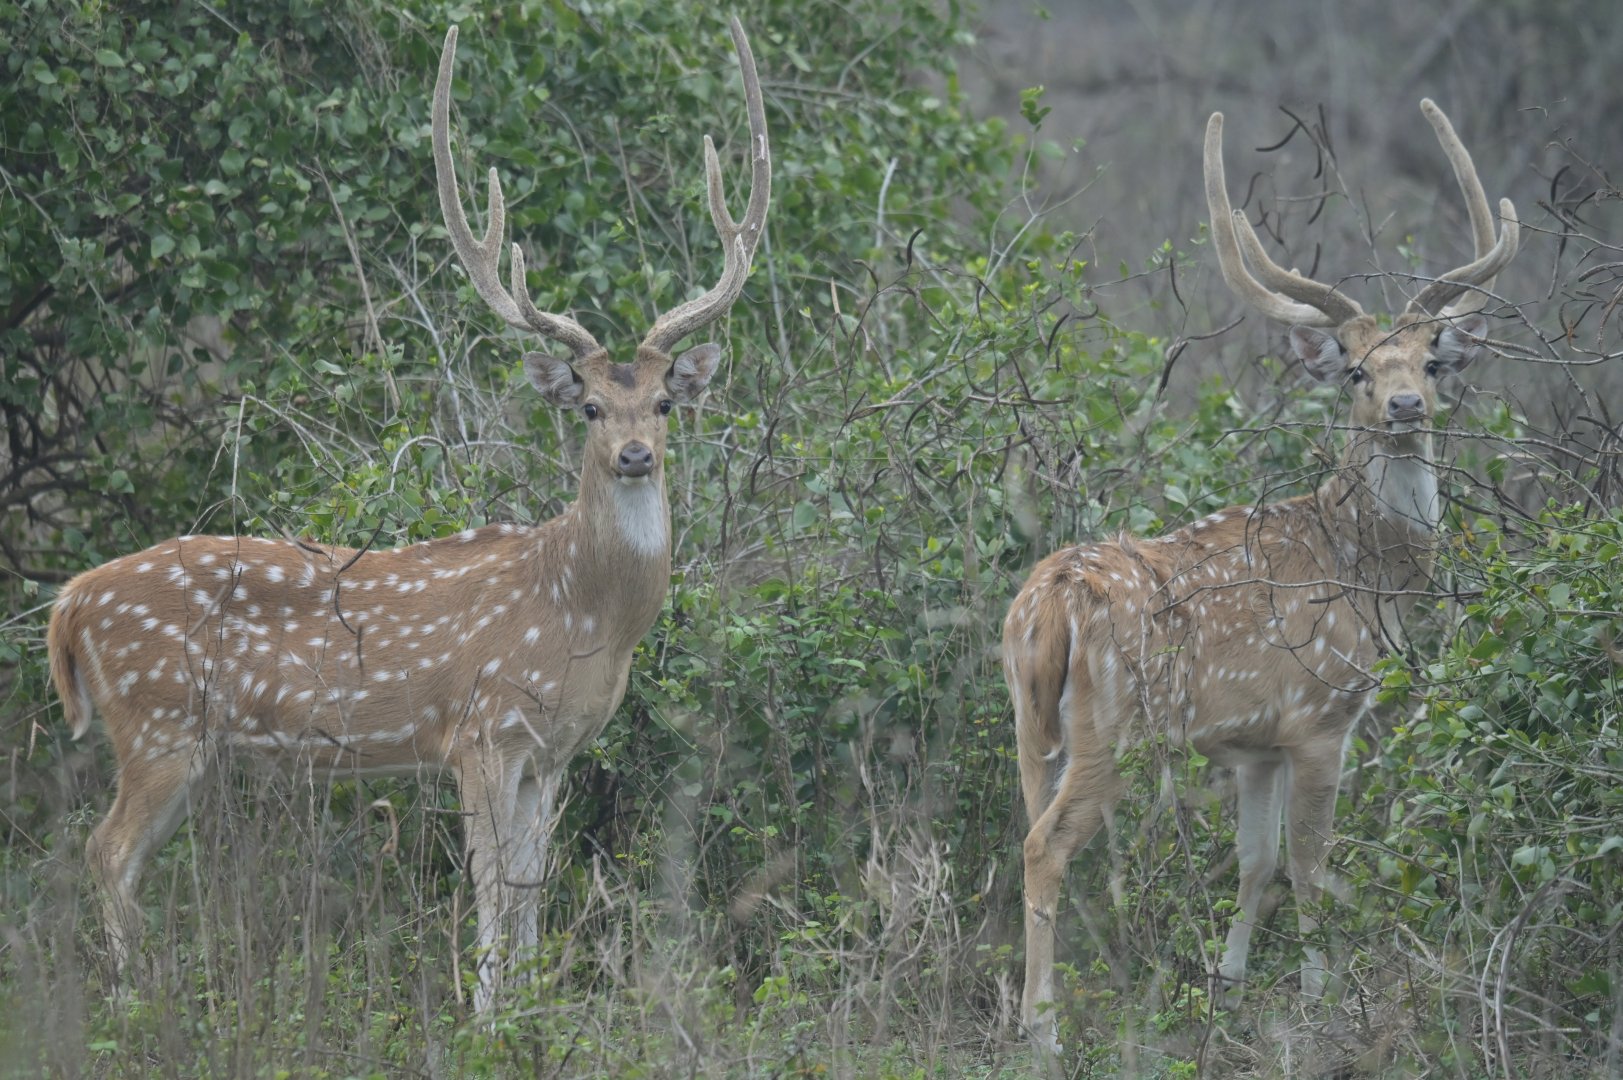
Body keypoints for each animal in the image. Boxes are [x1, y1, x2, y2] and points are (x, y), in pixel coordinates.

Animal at [45, 17, 770, 1013]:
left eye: (664, 402)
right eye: (588, 406)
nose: (634, 454)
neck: (584, 613)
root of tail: (70, 601)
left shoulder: (554, 750)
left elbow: (532, 884)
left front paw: (535, 1009)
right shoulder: (481, 726)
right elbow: (491, 884)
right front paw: (488, 1016)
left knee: (110, 852)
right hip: (158, 720)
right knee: (105, 851)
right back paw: (138, 1002)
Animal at [1004, 99, 1518, 1051]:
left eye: (1430, 362)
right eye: (1355, 370)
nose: (1404, 406)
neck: (1367, 569)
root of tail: (1048, 602)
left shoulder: (1252, 744)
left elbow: (1255, 858)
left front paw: (1231, 980)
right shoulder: (1321, 714)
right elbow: (1311, 863)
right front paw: (1320, 996)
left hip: (1030, 720)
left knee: (1024, 825)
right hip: (1114, 728)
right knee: (1044, 845)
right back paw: (1042, 1031)